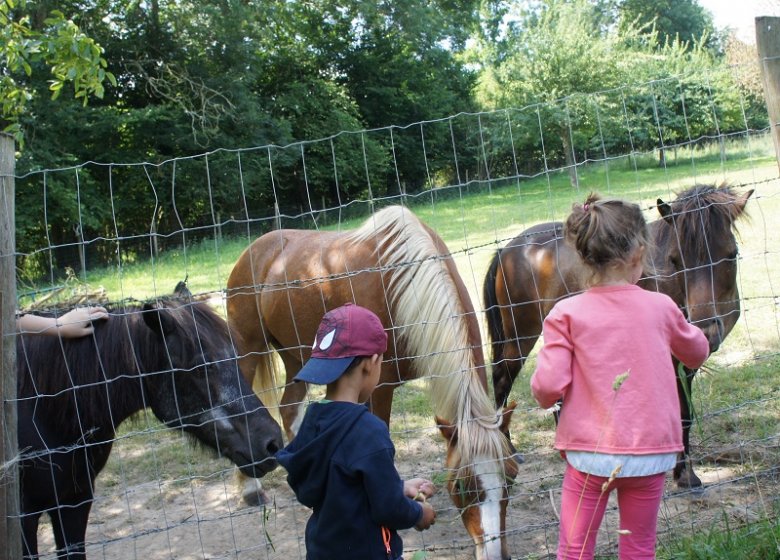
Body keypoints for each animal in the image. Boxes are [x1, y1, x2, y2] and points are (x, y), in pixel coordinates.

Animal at [225, 206, 516, 560]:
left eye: (510, 480)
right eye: (461, 485)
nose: (496, 555)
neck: (402, 284)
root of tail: (254, 250)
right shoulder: (379, 388)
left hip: (298, 355)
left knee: (289, 408)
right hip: (248, 349)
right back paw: (251, 489)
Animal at [484, 186, 752, 488]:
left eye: (731, 254)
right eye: (675, 260)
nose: (705, 331)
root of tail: (508, 249)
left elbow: (684, 413)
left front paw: (683, 472)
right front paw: (682, 472)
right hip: (520, 336)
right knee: (501, 381)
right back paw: (508, 454)